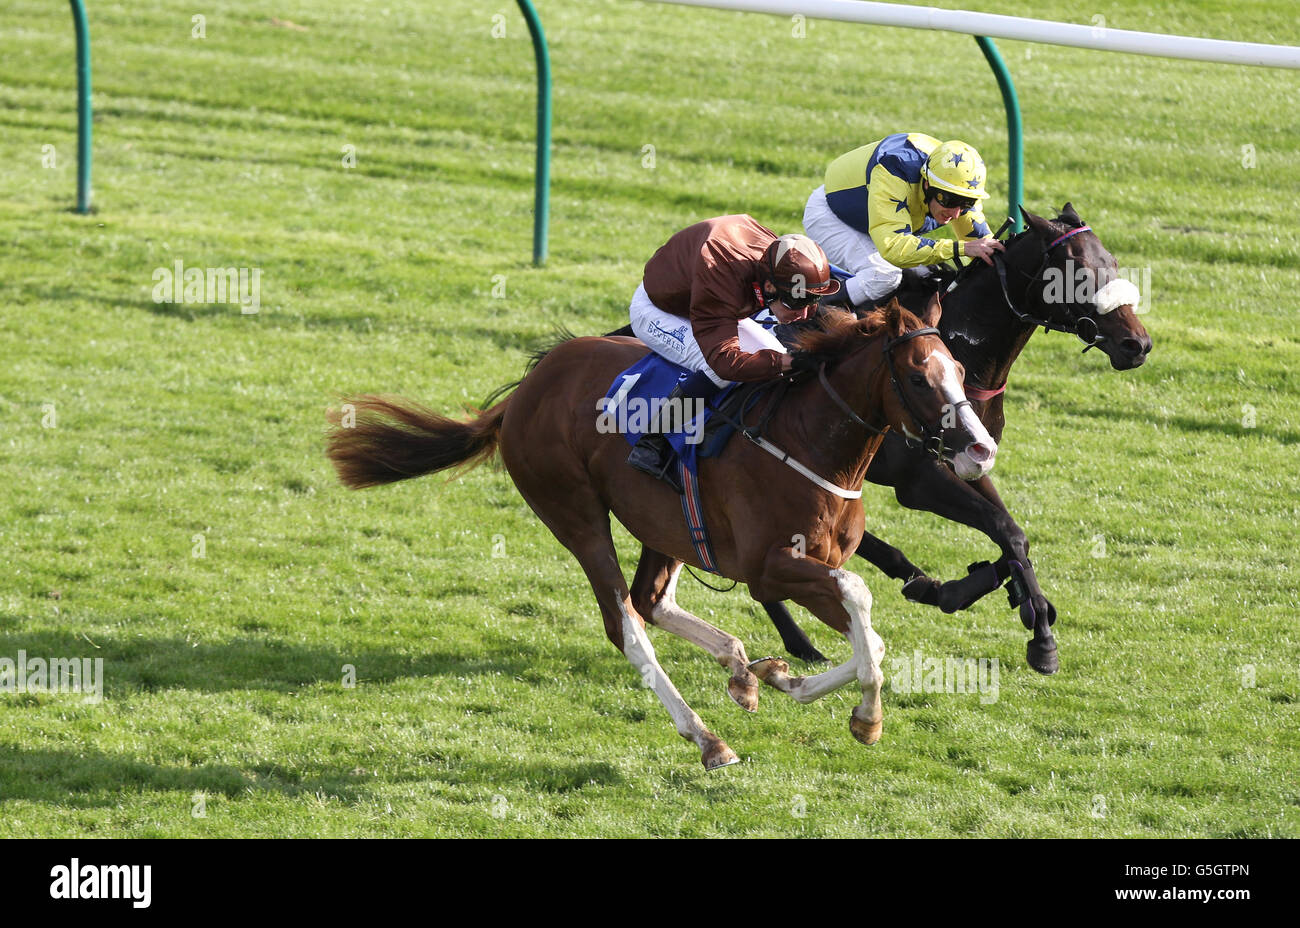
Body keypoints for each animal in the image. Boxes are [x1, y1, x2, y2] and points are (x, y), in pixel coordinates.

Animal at [325, 301, 993, 764]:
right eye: (918, 376)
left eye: (961, 369)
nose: (980, 451)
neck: (810, 443)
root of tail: (528, 389)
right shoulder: (769, 568)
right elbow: (860, 598)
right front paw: (864, 717)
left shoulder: (814, 565)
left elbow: (868, 639)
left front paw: (783, 678)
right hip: (575, 514)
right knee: (625, 621)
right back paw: (708, 738)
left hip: (666, 527)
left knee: (651, 599)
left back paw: (740, 669)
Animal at [759, 206, 1149, 670]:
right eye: (1078, 272)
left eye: (1112, 263)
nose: (1137, 344)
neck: (961, 352)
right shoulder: (917, 480)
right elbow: (1003, 528)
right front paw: (1032, 628)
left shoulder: (973, 458)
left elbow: (1013, 533)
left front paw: (1031, 607)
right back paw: (802, 639)